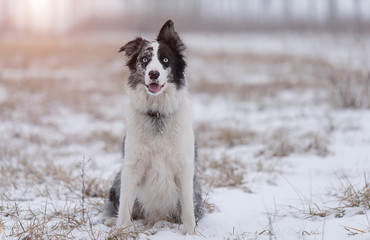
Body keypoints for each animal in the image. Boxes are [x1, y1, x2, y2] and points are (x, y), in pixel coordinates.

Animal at [101, 20, 204, 234]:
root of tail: (156, 218)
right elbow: (125, 206)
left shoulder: (184, 167)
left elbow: (188, 210)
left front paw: (191, 233)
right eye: (144, 59)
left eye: (165, 60)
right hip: (118, 178)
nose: (154, 74)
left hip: (196, 187)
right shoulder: (131, 166)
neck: (157, 115)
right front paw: (121, 230)